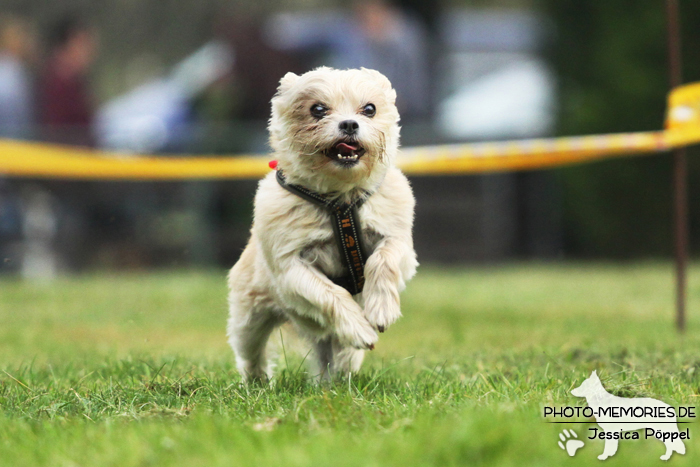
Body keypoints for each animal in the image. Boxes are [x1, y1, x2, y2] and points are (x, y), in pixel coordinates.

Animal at [227, 67, 418, 382]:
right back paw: (258, 382)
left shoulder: (397, 240)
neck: (339, 200)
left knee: (336, 357)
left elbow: (383, 261)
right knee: (250, 353)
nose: (349, 124)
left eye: (370, 109)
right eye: (317, 109)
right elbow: (332, 293)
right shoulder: (291, 268)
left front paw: (381, 311)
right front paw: (360, 329)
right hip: (249, 317)